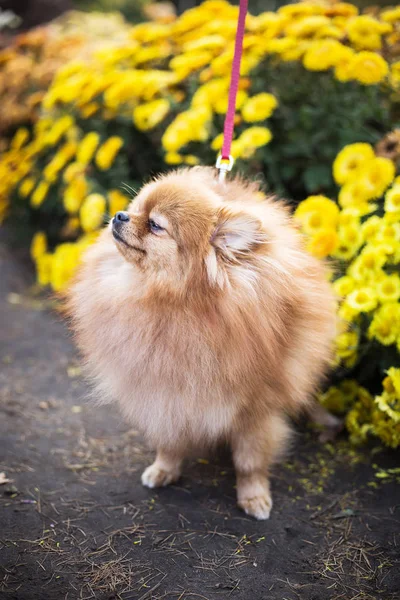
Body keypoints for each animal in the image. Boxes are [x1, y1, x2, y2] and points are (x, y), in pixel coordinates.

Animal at [67, 166, 340, 516]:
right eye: (135, 207)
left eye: (155, 225)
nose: (120, 215)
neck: (175, 304)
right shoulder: (164, 389)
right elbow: (169, 439)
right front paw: (164, 468)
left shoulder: (256, 407)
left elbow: (250, 459)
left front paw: (253, 496)